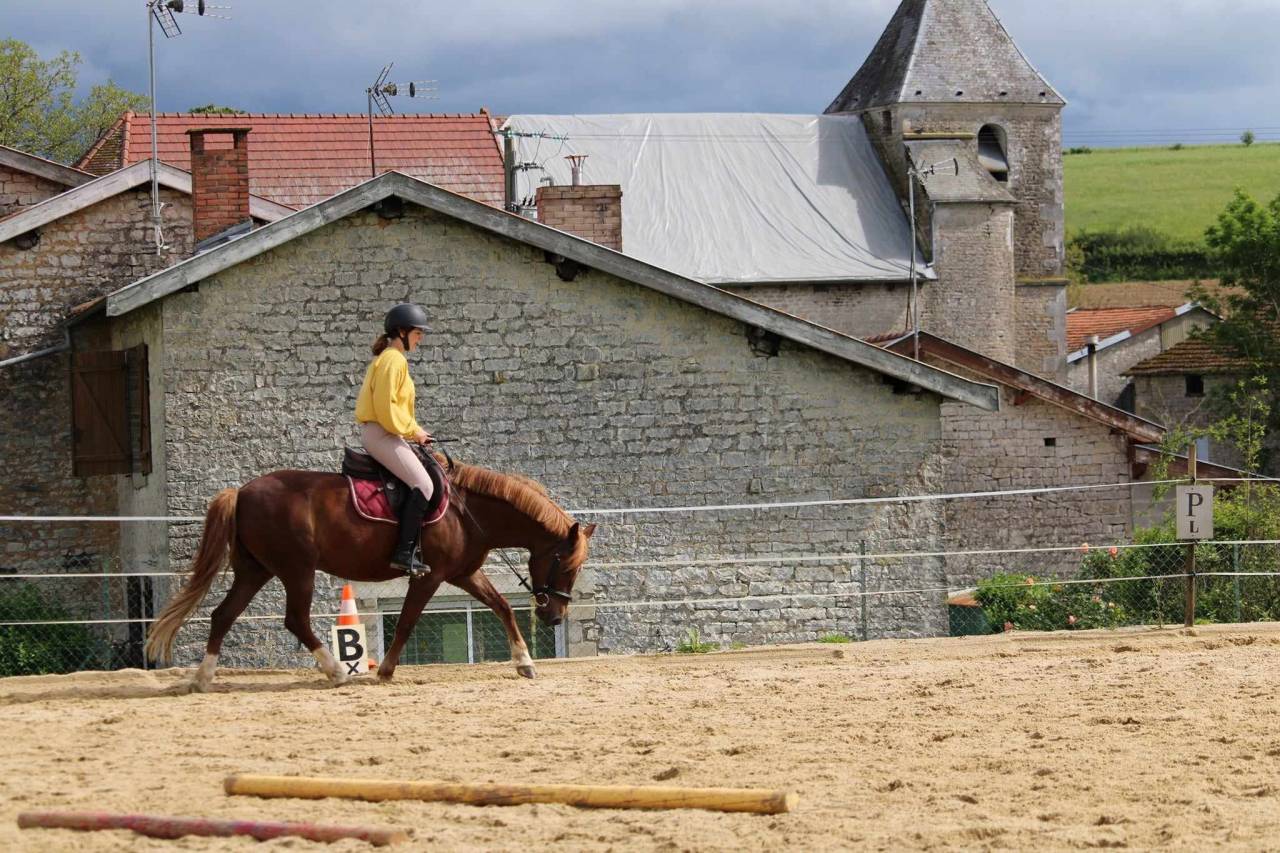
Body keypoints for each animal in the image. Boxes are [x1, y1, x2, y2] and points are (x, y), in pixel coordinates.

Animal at [143, 456, 596, 691]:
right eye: (567, 565)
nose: (555, 616)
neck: (468, 511)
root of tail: (242, 492)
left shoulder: (463, 573)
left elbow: (501, 605)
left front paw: (524, 662)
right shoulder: (428, 576)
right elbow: (408, 620)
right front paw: (387, 669)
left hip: (256, 571)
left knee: (224, 614)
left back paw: (203, 678)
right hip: (296, 570)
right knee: (295, 619)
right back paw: (335, 670)